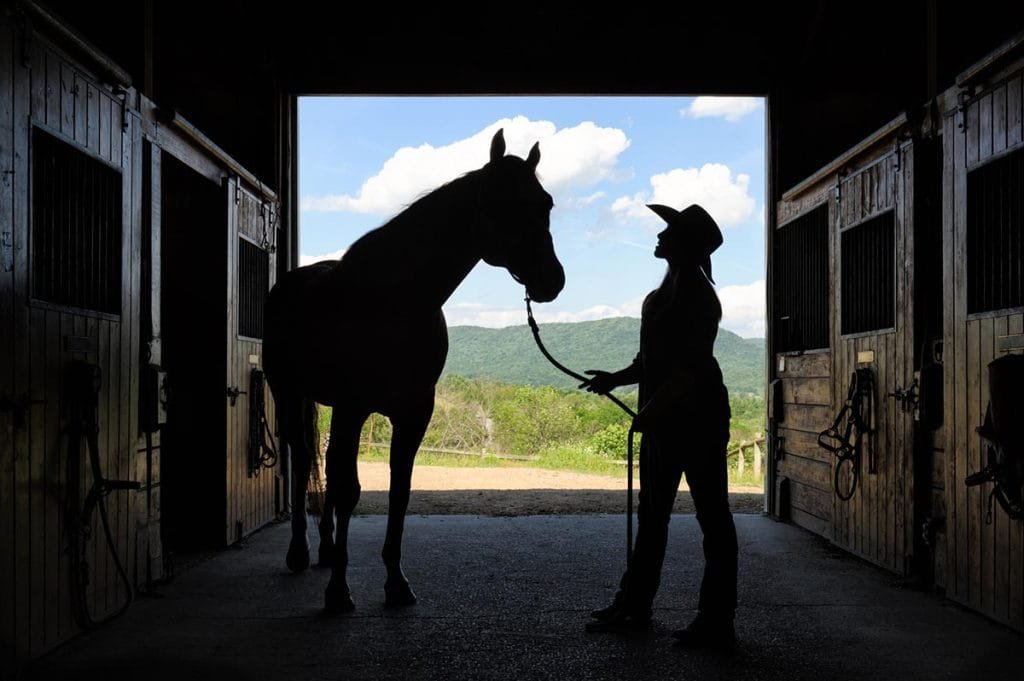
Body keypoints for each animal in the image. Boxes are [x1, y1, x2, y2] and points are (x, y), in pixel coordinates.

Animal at [263, 128, 565, 613]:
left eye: (546, 204)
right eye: (500, 201)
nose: (551, 280)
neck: (395, 299)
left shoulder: (414, 412)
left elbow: (399, 491)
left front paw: (396, 583)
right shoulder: (353, 407)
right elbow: (348, 490)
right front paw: (339, 594)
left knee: (323, 463)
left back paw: (327, 550)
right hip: (290, 394)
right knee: (305, 457)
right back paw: (300, 553)